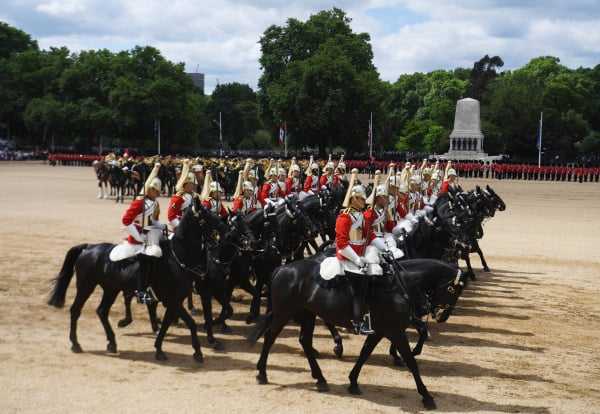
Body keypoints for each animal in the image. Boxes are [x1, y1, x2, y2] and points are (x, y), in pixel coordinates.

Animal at [46, 201, 230, 362]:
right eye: (207, 215)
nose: (226, 233)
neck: (177, 259)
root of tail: (89, 247)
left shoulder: (174, 302)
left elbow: (166, 325)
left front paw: (159, 350)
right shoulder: (173, 301)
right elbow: (191, 323)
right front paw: (198, 352)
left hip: (110, 289)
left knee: (102, 311)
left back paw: (112, 343)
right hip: (86, 286)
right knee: (75, 310)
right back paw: (76, 344)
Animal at [248, 258, 468, 410]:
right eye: (455, 291)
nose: (442, 316)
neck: (400, 286)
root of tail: (282, 268)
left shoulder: (379, 331)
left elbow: (364, 354)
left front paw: (353, 382)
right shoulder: (395, 331)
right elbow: (411, 362)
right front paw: (427, 396)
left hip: (307, 314)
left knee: (305, 342)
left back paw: (320, 379)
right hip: (283, 313)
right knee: (270, 338)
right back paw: (262, 373)